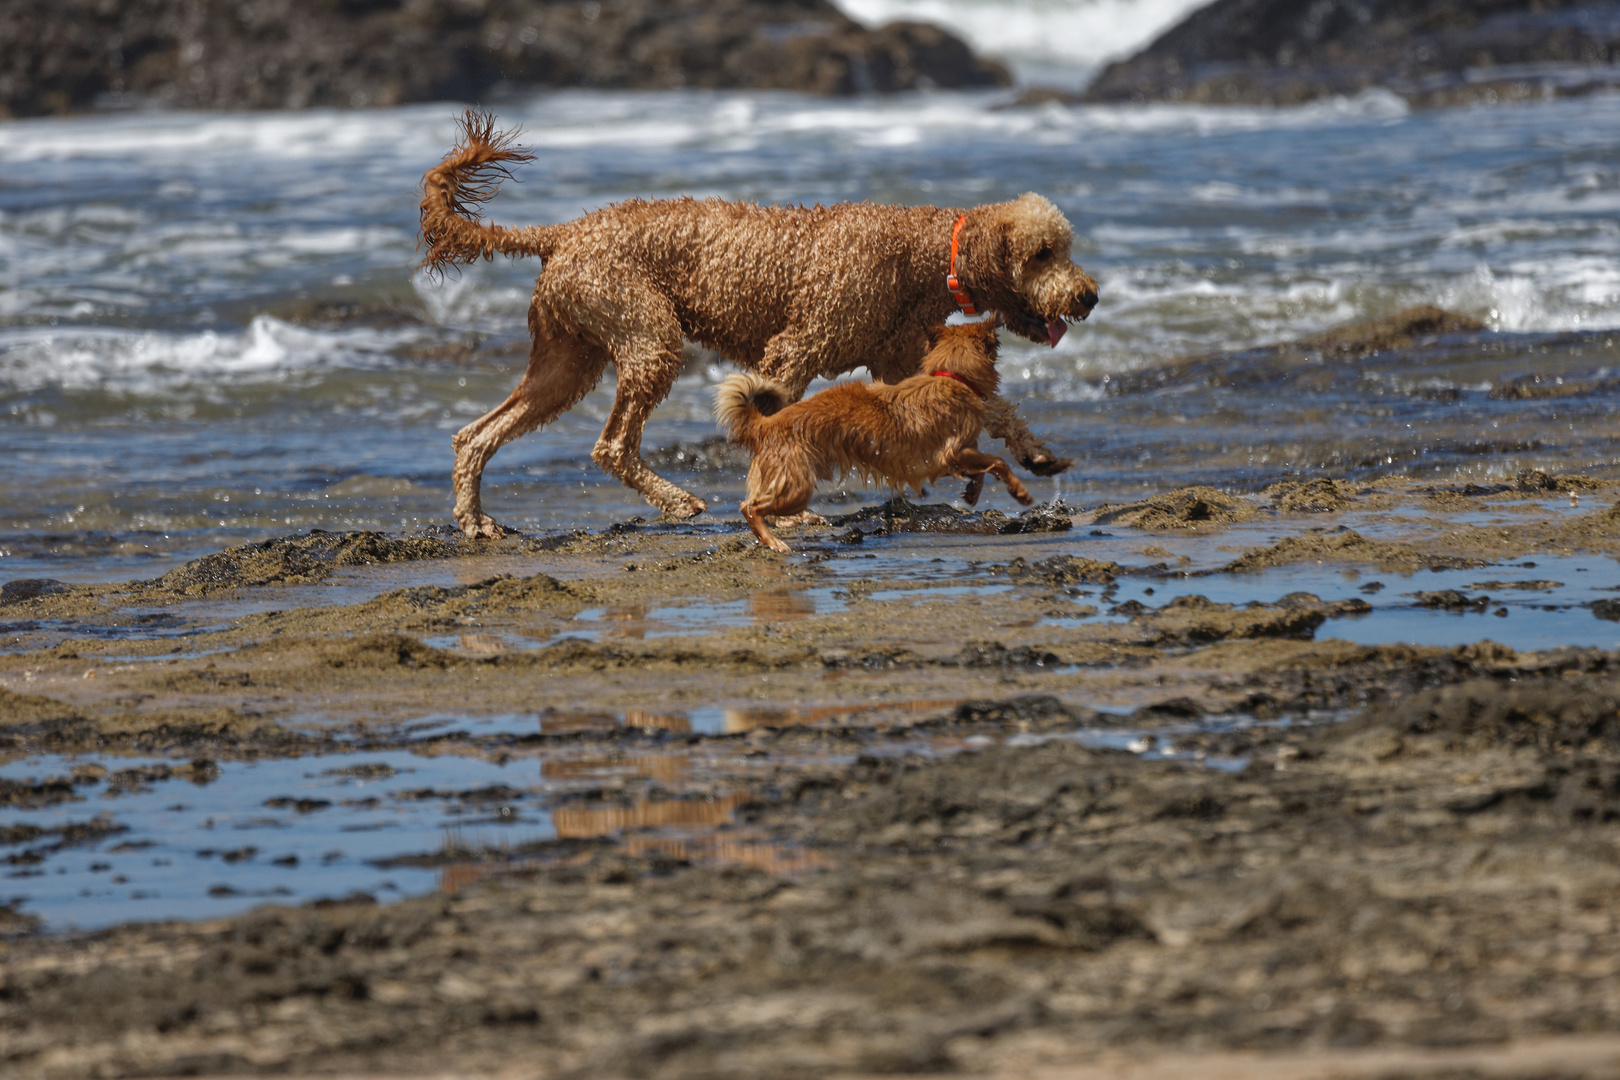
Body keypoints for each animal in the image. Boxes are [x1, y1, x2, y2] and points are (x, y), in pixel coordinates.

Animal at [716, 317, 1030, 553]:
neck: (951, 377)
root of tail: (765, 424)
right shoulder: (953, 451)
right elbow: (999, 462)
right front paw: (1021, 492)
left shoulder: (962, 452)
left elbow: (983, 470)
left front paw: (973, 493)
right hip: (796, 488)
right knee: (750, 507)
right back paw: (773, 542)